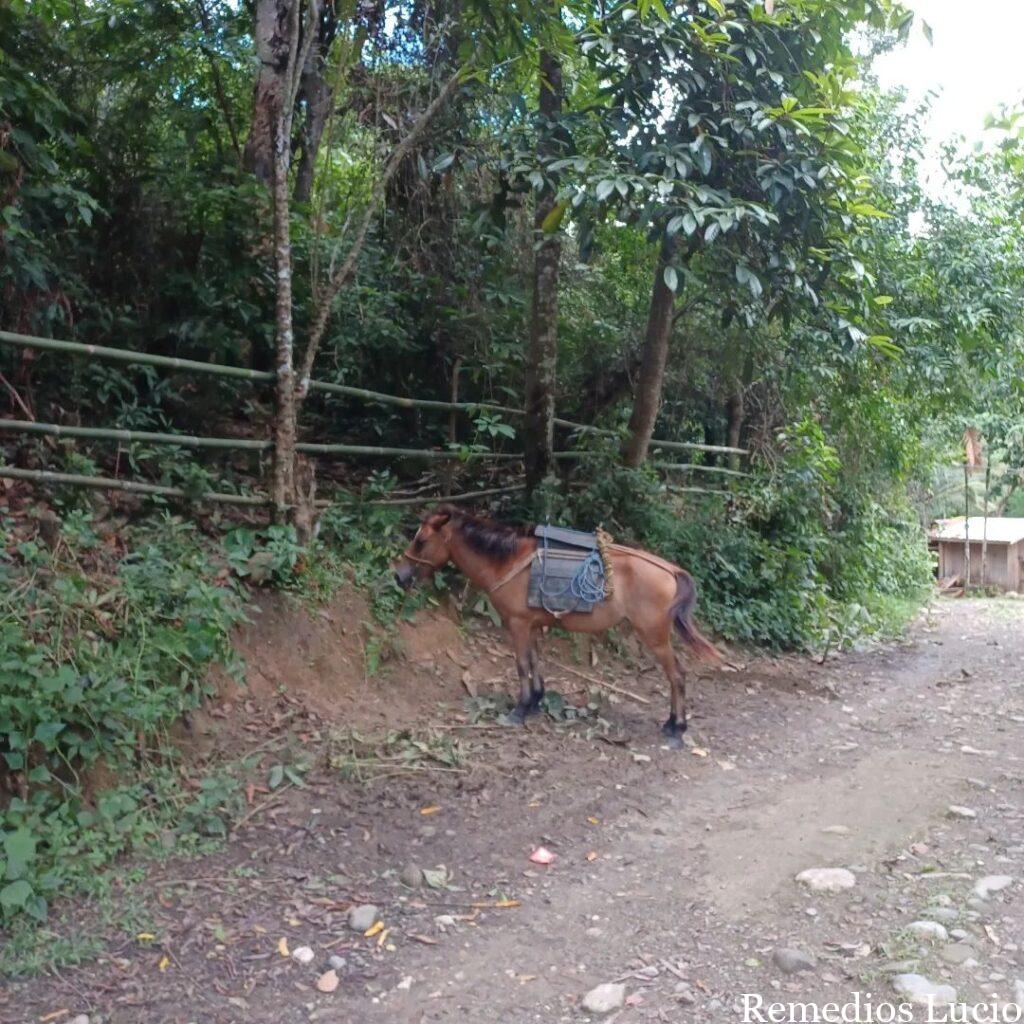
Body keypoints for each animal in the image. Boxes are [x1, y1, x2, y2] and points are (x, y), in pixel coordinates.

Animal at [394, 505, 720, 747]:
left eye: (421, 541)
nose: (400, 575)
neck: (507, 561)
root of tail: (671, 571)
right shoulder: (532, 624)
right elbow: (535, 661)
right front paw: (536, 702)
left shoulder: (518, 624)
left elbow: (522, 665)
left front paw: (520, 709)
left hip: (654, 636)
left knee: (677, 676)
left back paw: (676, 728)